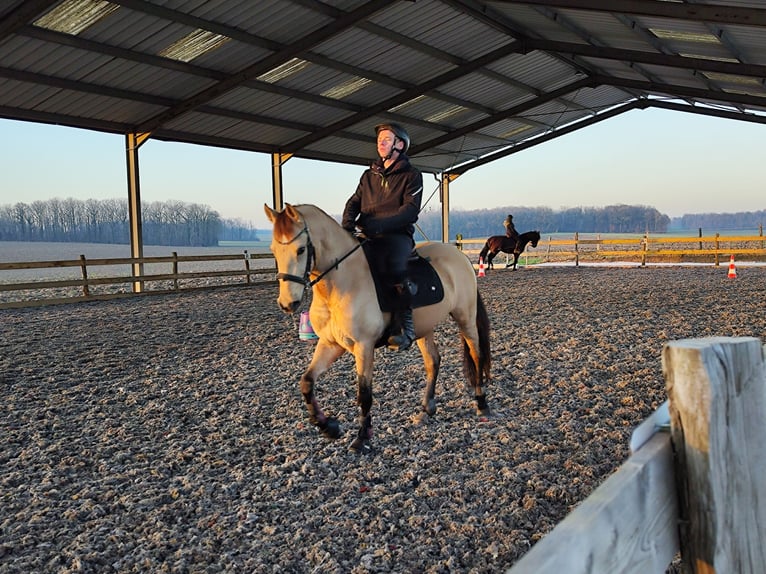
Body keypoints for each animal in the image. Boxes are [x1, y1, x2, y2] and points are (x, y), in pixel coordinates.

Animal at [264, 204, 492, 454]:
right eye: (273, 250)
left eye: (301, 249)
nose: (287, 303)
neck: (341, 284)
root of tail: (459, 255)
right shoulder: (330, 344)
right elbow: (307, 382)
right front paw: (328, 427)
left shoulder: (364, 346)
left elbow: (364, 394)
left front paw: (362, 437)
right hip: (424, 328)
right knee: (433, 361)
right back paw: (426, 410)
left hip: (465, 317)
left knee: (476, 355)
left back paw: (482, 404)